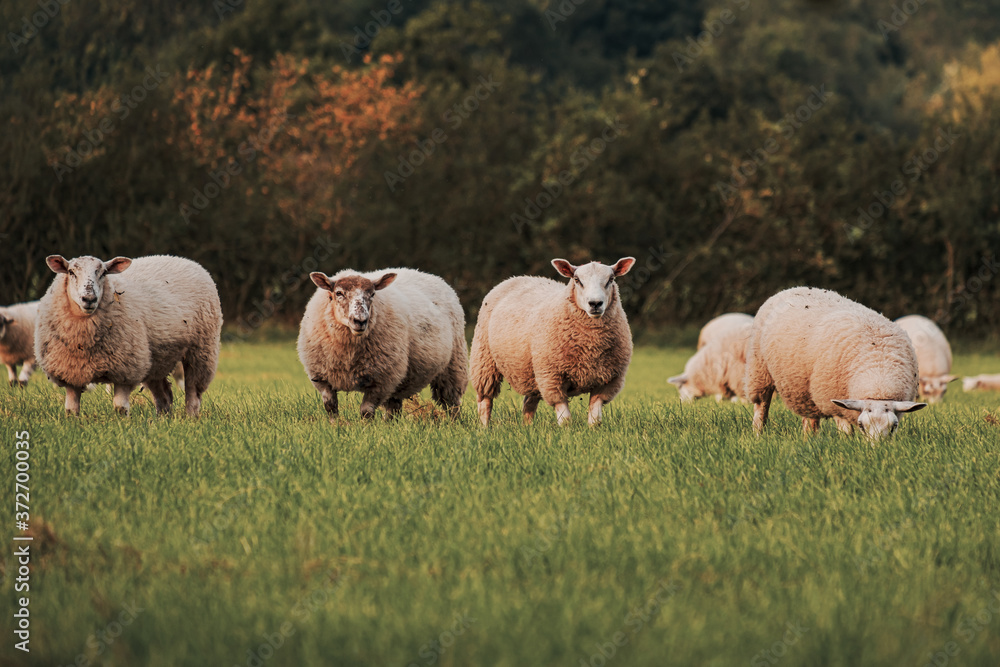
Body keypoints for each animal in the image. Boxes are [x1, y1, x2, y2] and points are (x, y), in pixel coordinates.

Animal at [35, 254, 222, 417]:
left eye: (103, 273)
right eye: (71, 272)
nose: (89, 299)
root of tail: (185, 260)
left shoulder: (125, 369)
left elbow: (120, 408)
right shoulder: (70, 372)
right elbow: (71, 409)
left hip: (201, 349)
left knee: (193, 392)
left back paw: (190, 418)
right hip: (156, 359)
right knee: (164, 396)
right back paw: (162, 421)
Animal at [297, 267, 468, 421]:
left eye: (372, 294)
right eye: (339, 293)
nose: (360, 321)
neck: (348, 355)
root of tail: (430, 275)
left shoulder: (382, 380)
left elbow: (366, 411)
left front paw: (366, 430)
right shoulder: (321, 378)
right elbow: (330, 406)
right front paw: (335, 426)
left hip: (452, 366)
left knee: (451, 402)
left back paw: (454, 424)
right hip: (401, 379)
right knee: (394, 407)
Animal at [470, 257, 635, 427]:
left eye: (611, 279)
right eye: (577, 280)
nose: (595, 303)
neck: (590, 346)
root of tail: (518, 277)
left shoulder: (607, 381)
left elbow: (595, 419)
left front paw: (592, 430)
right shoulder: (552, 378)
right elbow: (566, 419)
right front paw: (567, 432)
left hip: (532, 372)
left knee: (529, 402)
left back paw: (528, 427)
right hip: (484, 360)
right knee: (485, 400)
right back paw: (484, 427)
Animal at [744, 287, 926, 439]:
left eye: (894, 426)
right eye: (862, 425)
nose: (877, 449)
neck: (878, 374)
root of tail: (789, 289)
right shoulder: (835, 403)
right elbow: (846, 432)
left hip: (805, 388)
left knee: (810, 418)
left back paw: (810, 439)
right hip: (759, 370)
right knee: (761, 406)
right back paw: (758, 434)